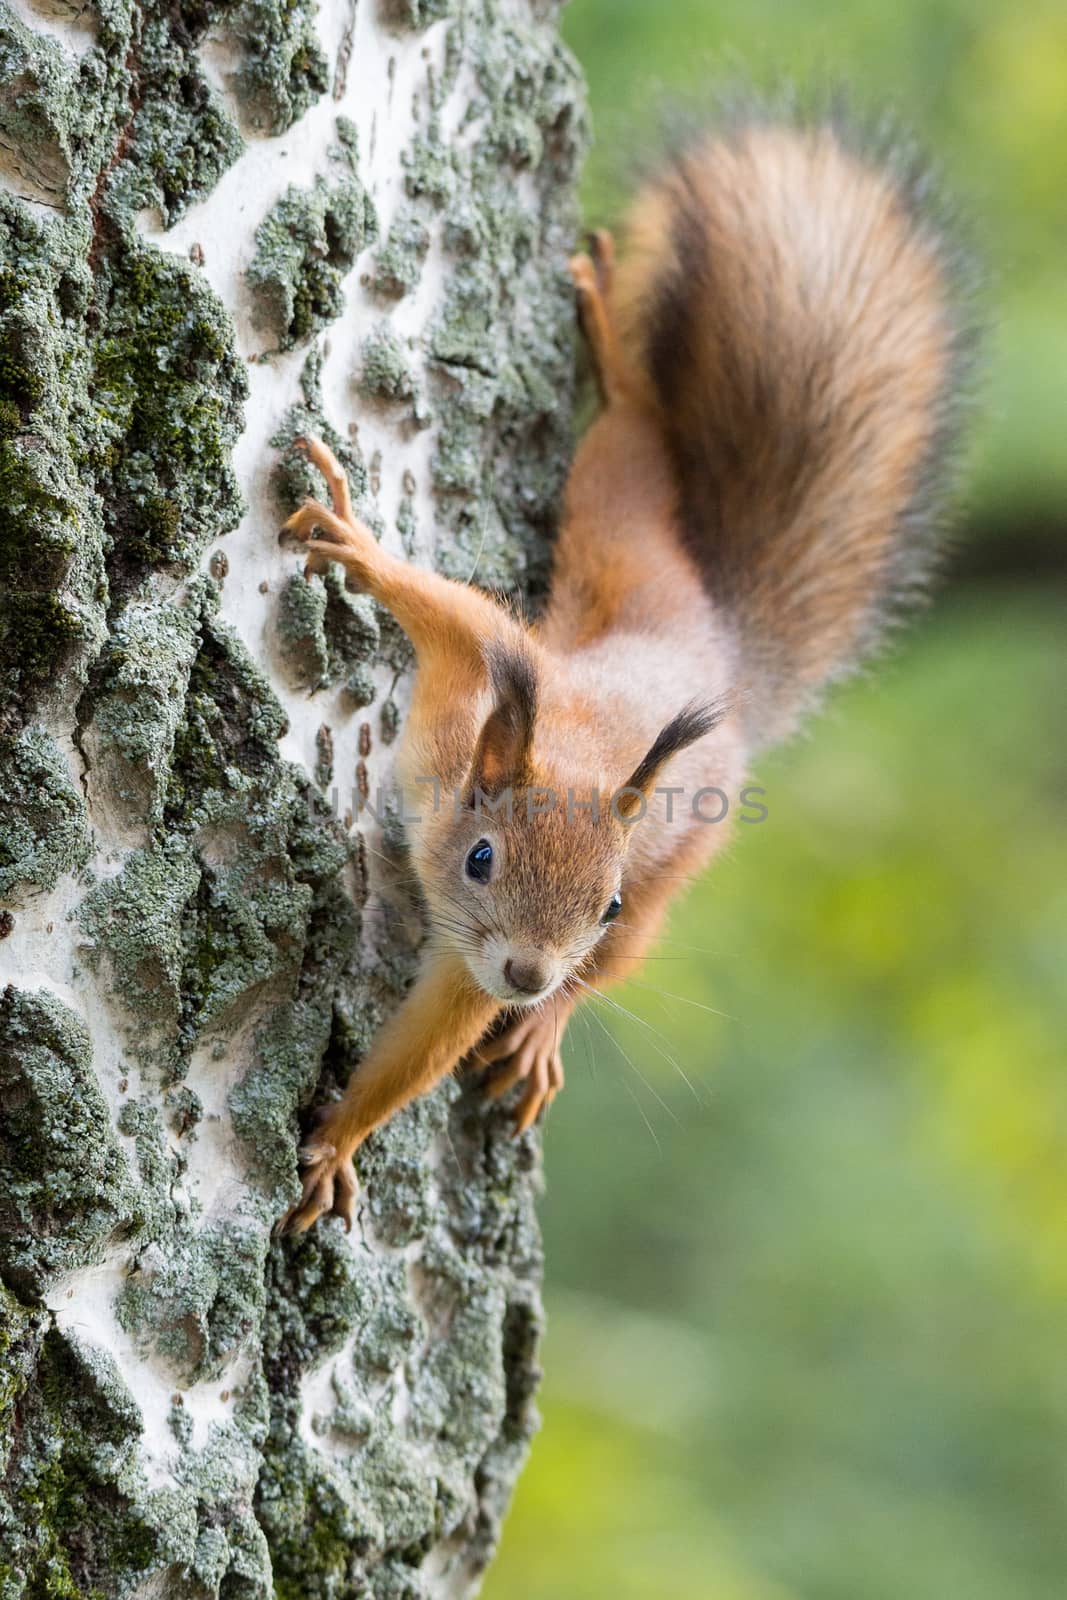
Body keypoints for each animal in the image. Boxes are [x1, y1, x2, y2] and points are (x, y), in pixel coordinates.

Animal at [278, 109, 979, 1235]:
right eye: (482, 860)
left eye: (599, 905)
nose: (527, 972)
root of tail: (724, 656)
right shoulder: (479, 679)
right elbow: (457, 614)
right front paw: (360, 548)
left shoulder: (484, 959)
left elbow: (432, 1036)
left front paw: (344, 1135)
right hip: (625, 551)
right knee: (633, 451)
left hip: (681, 831)